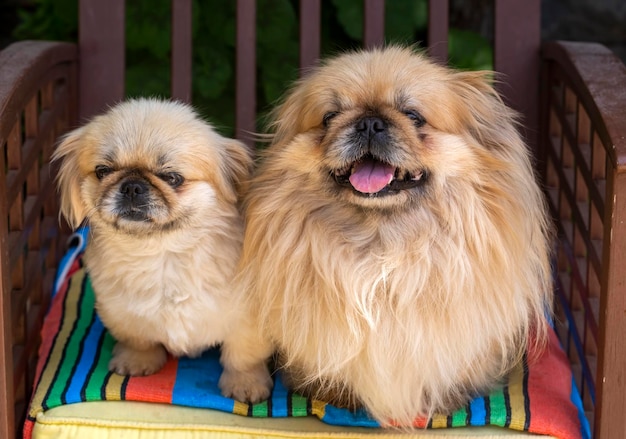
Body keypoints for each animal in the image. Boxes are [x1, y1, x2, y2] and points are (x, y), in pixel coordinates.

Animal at [55, 98, 270, 400]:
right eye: (103, 171)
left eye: (172, 178)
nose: (132, 186)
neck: (163, 254)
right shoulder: (120, 311)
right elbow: (139, 340)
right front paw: (137, 362)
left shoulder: (248, 322)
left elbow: (242, 356)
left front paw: (246, 384)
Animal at [219, 47, 552, 426]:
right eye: (329, 116)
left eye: (413, 116)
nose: (369, 122)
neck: (379, 244)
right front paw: (334, 395)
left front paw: (448, 399)